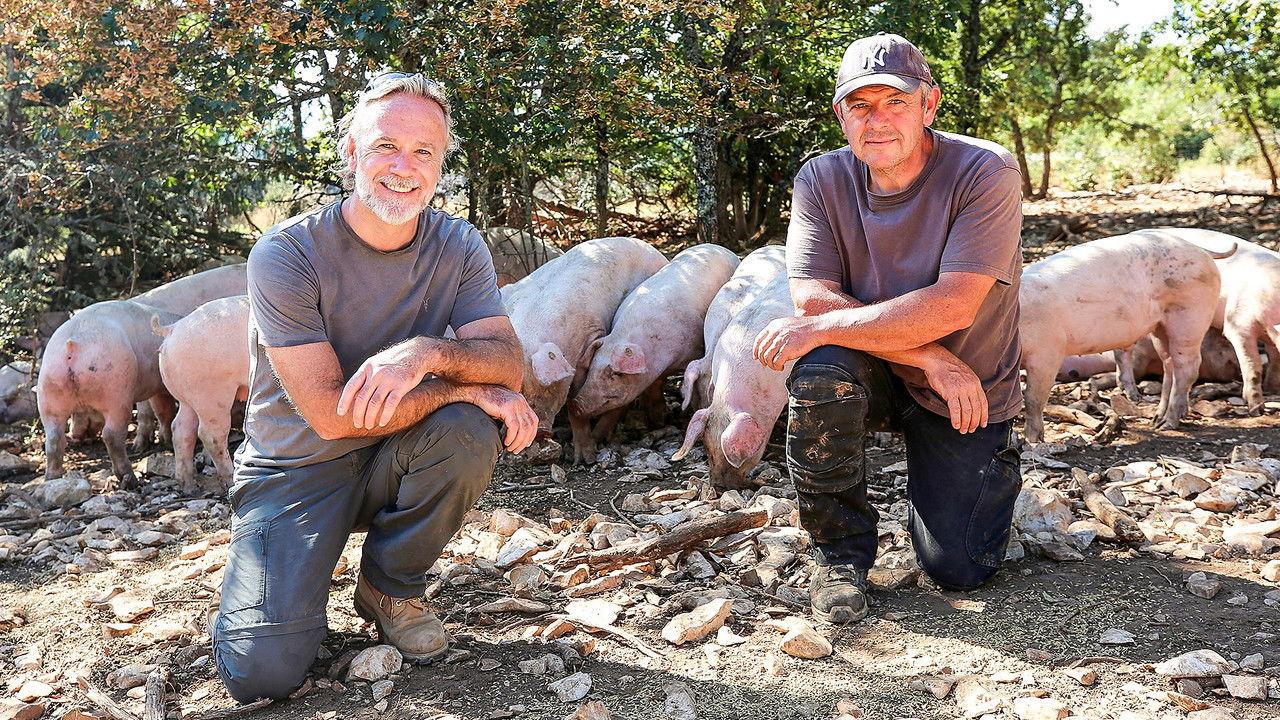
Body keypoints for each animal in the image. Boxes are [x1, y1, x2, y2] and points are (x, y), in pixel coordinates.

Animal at [37, 301, 182, 487]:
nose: (76, 434)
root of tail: (72, 345)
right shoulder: (160, 386)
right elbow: (165, 412)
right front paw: (168, 444)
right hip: (117, 392)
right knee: (111, 435)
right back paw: (130, 479)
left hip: (48, 393)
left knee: (54, 438)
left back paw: (51, 479)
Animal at [152, 296, 250, 493]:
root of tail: (171, 329)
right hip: (212, 393)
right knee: (210, 434)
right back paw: (230, 481)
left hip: (187, 396)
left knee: (181, 428)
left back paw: (189, 486)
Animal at [501, 236, 668, 461]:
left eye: (547, 385)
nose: (540, 433)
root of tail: (650, 247)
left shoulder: (589, 342)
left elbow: (575, 399)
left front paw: (584, 459)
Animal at [567, 244, 740, 462]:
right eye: (591, 368)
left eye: (615, 373)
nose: (575, 403)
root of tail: (719, 247)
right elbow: (653, 386)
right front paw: (658, 420)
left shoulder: (692, 351)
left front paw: (662, 419)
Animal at [1019, 229, 1229, 443]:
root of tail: (1200, 249)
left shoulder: (1048, 352)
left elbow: (1032, 399)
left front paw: (1031, 440)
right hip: (1160, 326)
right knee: (1169, 364)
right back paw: (1156, 419)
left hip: (1190, 315)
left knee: (1188, 367)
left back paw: (1167, 424)